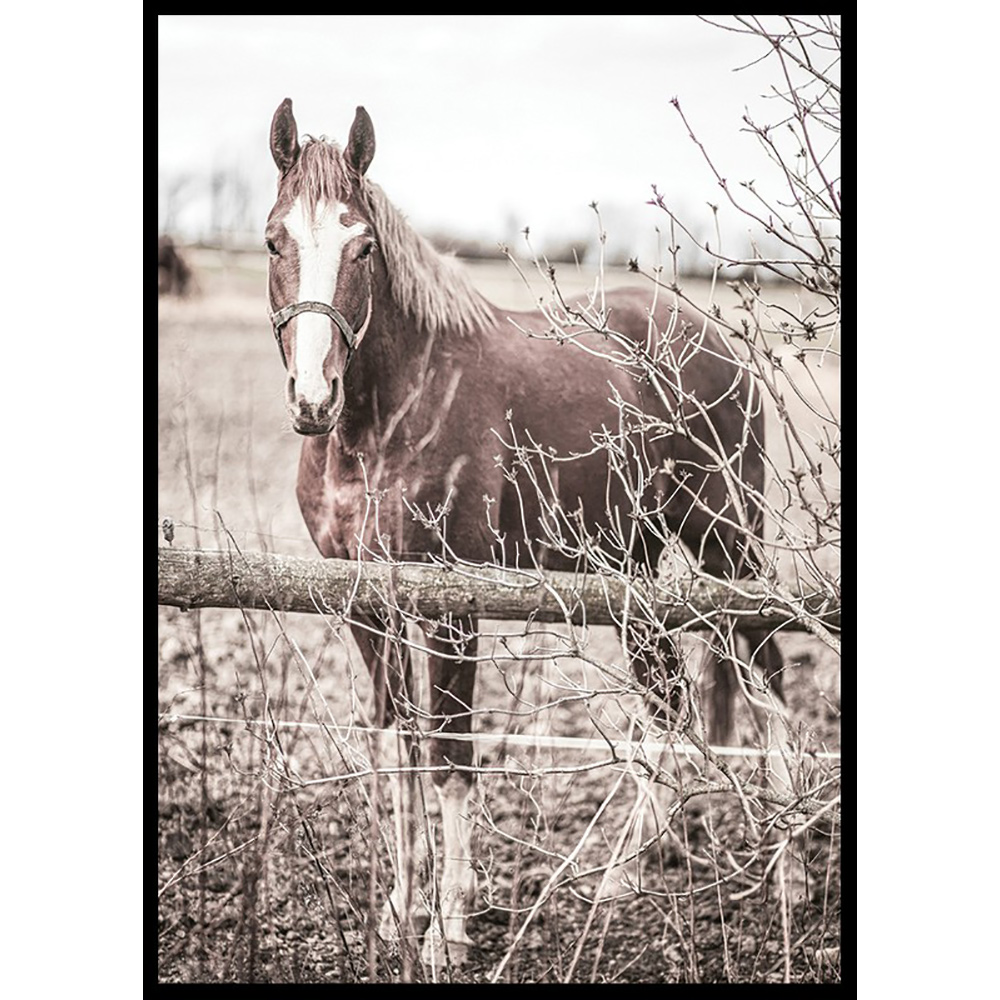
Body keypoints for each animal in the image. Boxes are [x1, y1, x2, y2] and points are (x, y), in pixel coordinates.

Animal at [264, 99, 788, 966]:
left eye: (362, 245)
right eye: (275, 238)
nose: (313, 397)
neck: (389, 414)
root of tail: (712, 338)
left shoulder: (452, 606)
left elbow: (449, 757)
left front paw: (447, 929)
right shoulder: (365, 605)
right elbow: (396, 747)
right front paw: (398, 910)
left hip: (728, 545)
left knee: (768, 680)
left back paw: (789, 875)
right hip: (631, 573)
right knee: (671, 702)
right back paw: (619, 881)